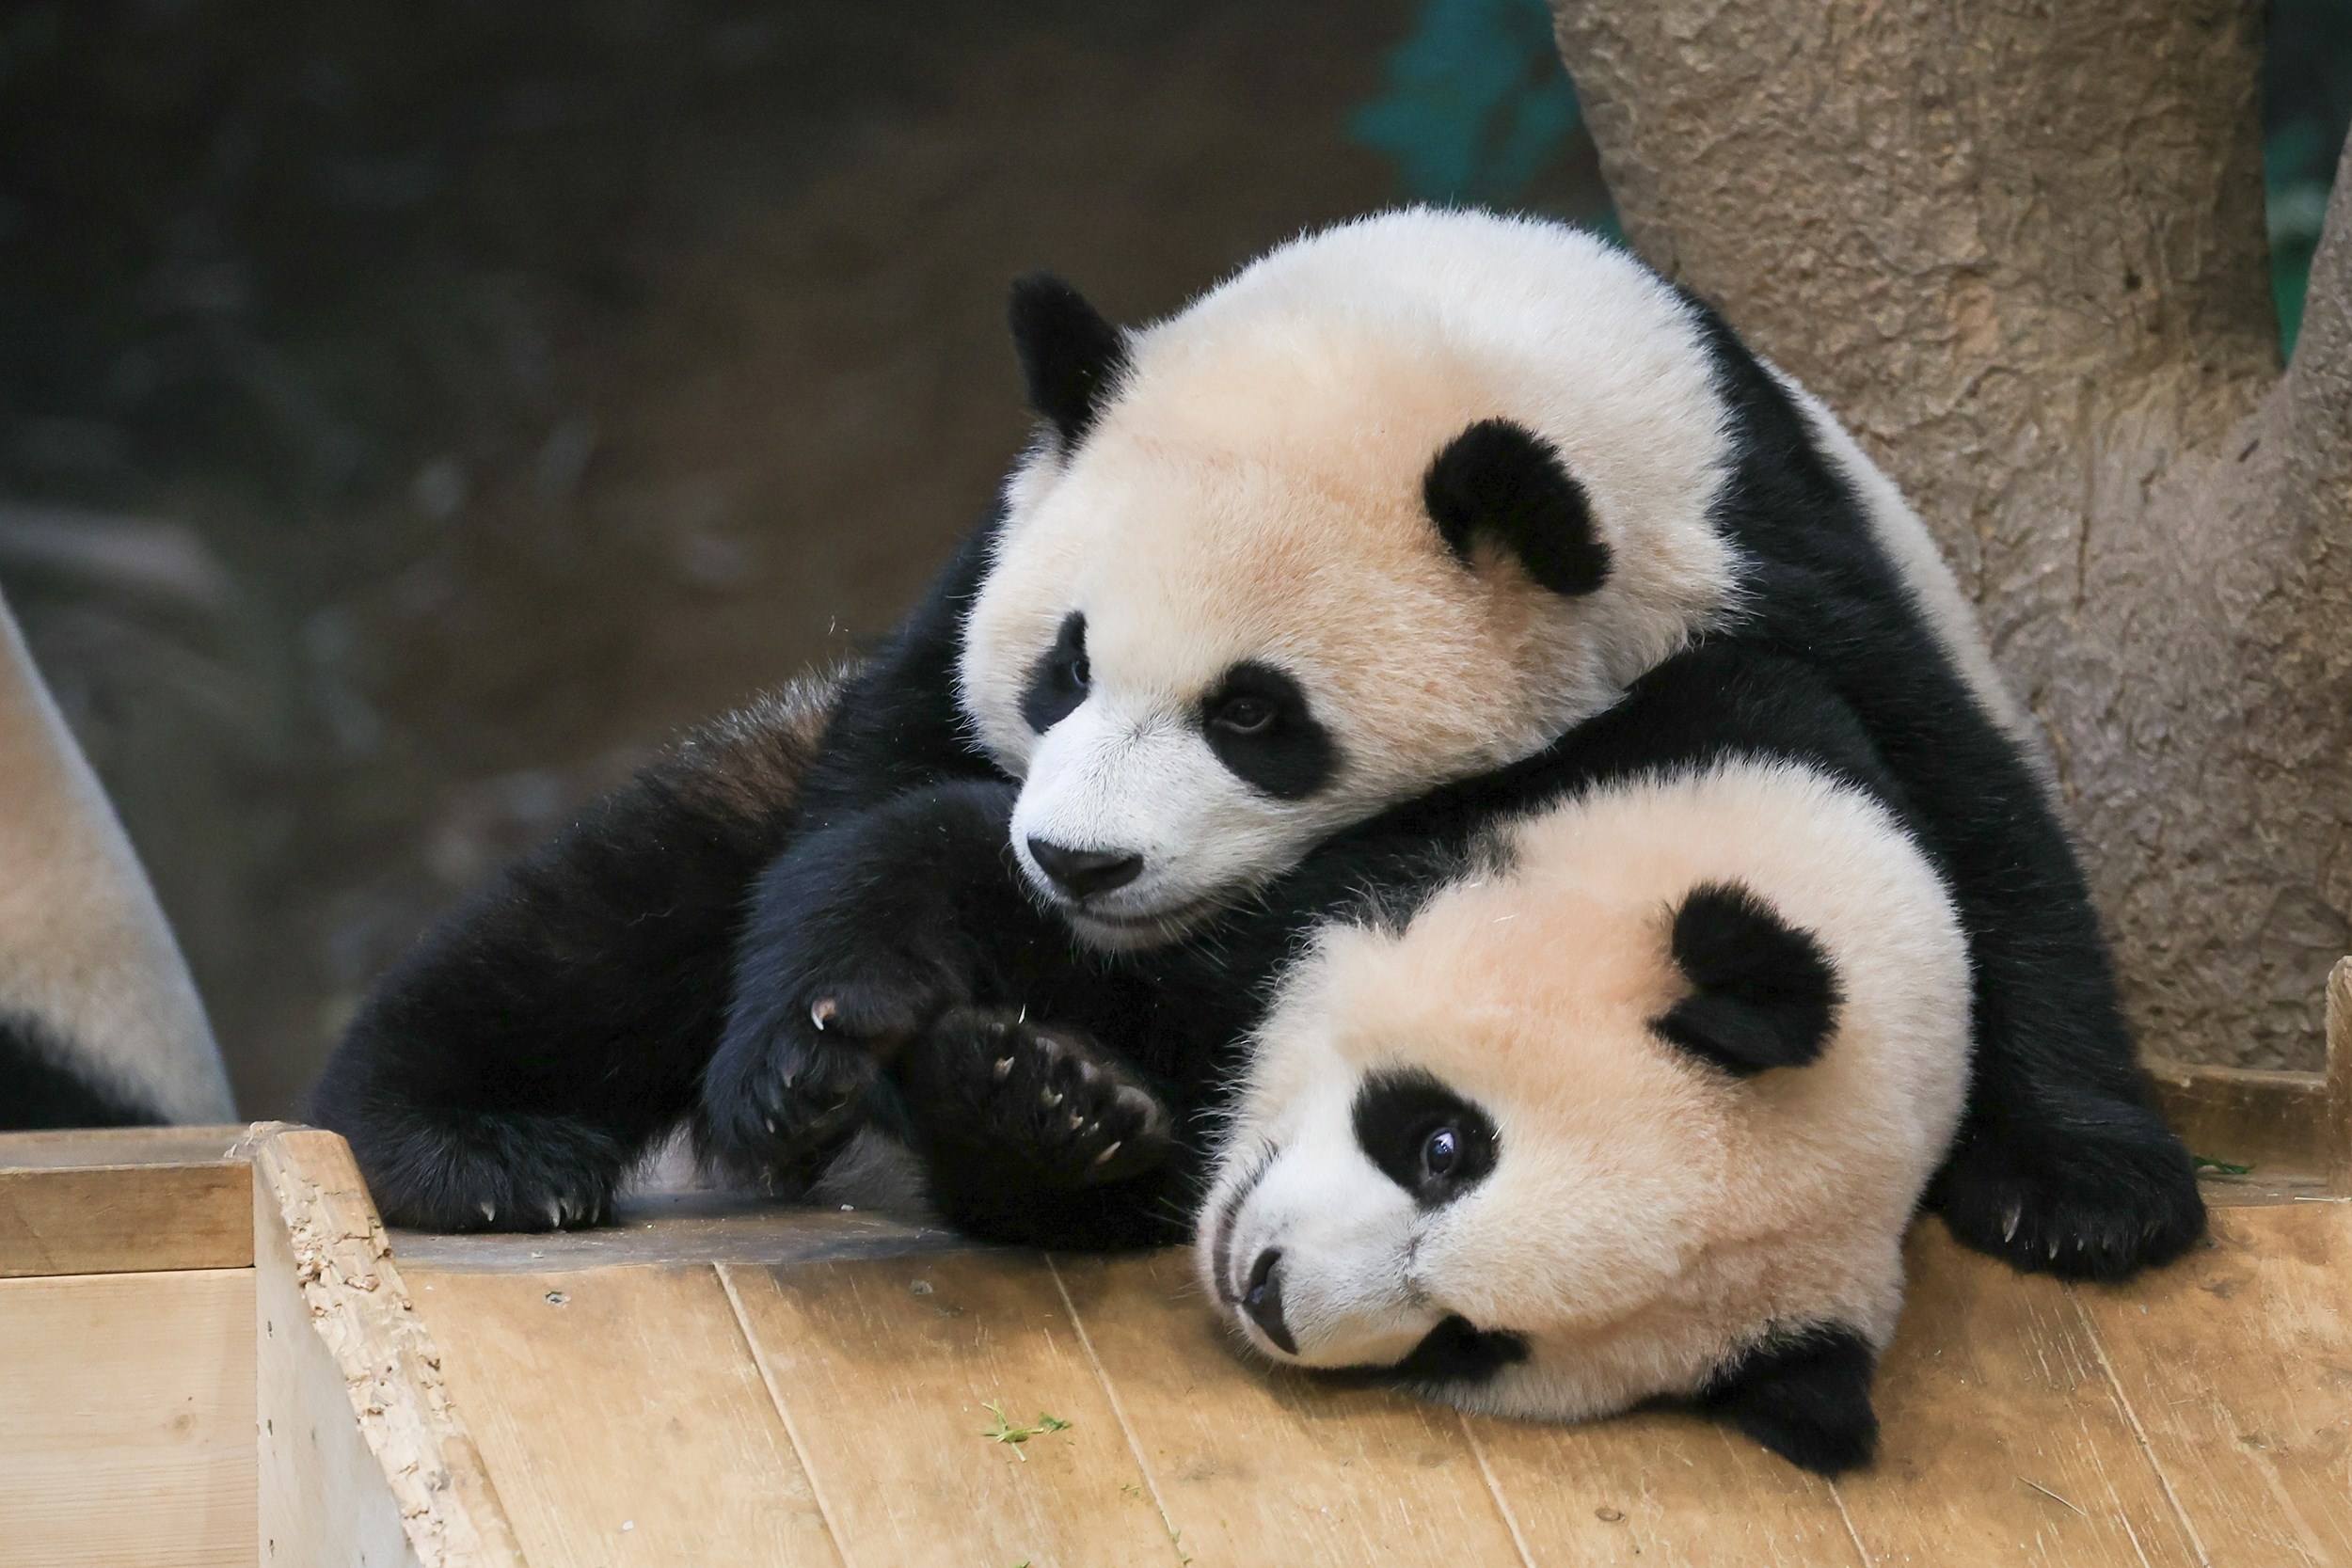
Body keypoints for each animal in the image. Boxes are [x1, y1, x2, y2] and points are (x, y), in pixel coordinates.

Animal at [312, 208, 2201, 1278]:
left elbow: (1971, 822)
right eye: (1063, 667)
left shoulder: (1760, 561)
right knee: (630, 899)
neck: (1452, 324)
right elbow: (869, 806)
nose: (1077, 860)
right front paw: (851, 1044)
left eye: (1256, 716)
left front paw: (2082, 1193)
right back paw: (478, 1148)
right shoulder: (972, 586)